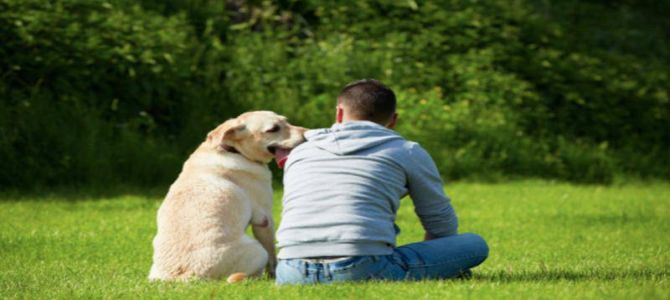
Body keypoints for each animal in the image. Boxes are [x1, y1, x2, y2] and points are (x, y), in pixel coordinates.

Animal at [150, 110, 308, 282]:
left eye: (287, 121)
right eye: (273, 129)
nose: (307, 133)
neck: (233, 150)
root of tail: (184, 275)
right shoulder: (264, 219)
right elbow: (273, 254)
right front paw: (274, 274)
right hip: (258, 250)